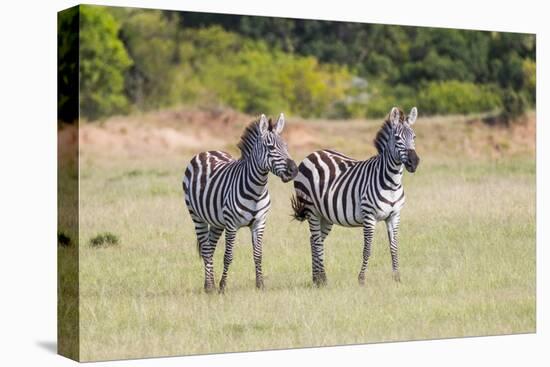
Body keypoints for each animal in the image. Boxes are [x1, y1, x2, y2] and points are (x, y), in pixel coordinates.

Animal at [183, 113, 300, 294]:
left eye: (286, 146)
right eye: (270, 148)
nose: (294, 170)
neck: (256, 190)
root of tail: (208, 152)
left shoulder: (259, 223)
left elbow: (258, 254)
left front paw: (260, 285)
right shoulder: (231, 224)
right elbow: (228, 256)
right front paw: (223, 287)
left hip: (217, 222)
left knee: (210, 247)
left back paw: (210, 284)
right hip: (196, 216)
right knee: (206, 249)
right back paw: (210, 287)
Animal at [292, 106, 420, 288]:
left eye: (414, 137)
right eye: (397, 138)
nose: (414, 162)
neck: (392, 182)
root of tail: (314, 153)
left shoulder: (394, 216)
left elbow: (394, 247)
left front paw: (397, 278)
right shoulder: (369, 216)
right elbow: (367, 249)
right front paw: (362, 279)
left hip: (326, 215)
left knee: (314, 241)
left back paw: (317, 278)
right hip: (312, 210)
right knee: (316, 241)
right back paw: (321, 279)